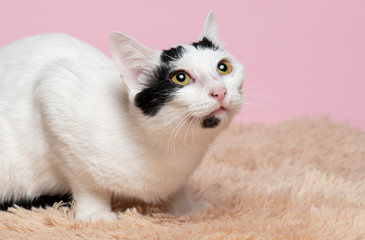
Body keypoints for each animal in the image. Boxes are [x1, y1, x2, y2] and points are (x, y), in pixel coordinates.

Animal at [0, 10, 245, 221]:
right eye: (181, 78)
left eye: (223, 67)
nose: (219, 91)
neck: (172, 147)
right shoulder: (54, 90)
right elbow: (86, 182)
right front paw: (95, 214)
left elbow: (177, 188)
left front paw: (185, 207)